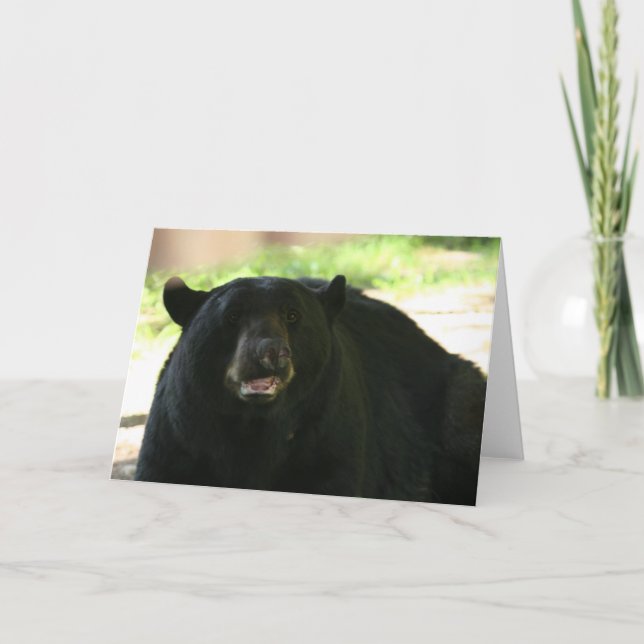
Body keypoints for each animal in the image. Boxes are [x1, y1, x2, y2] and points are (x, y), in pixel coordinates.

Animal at [134, 274, 487, 506]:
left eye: (293, 315)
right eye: (232, 316)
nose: (271, 352)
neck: (255, 424)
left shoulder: (327, 437)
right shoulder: (180, 436)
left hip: (456, 399)